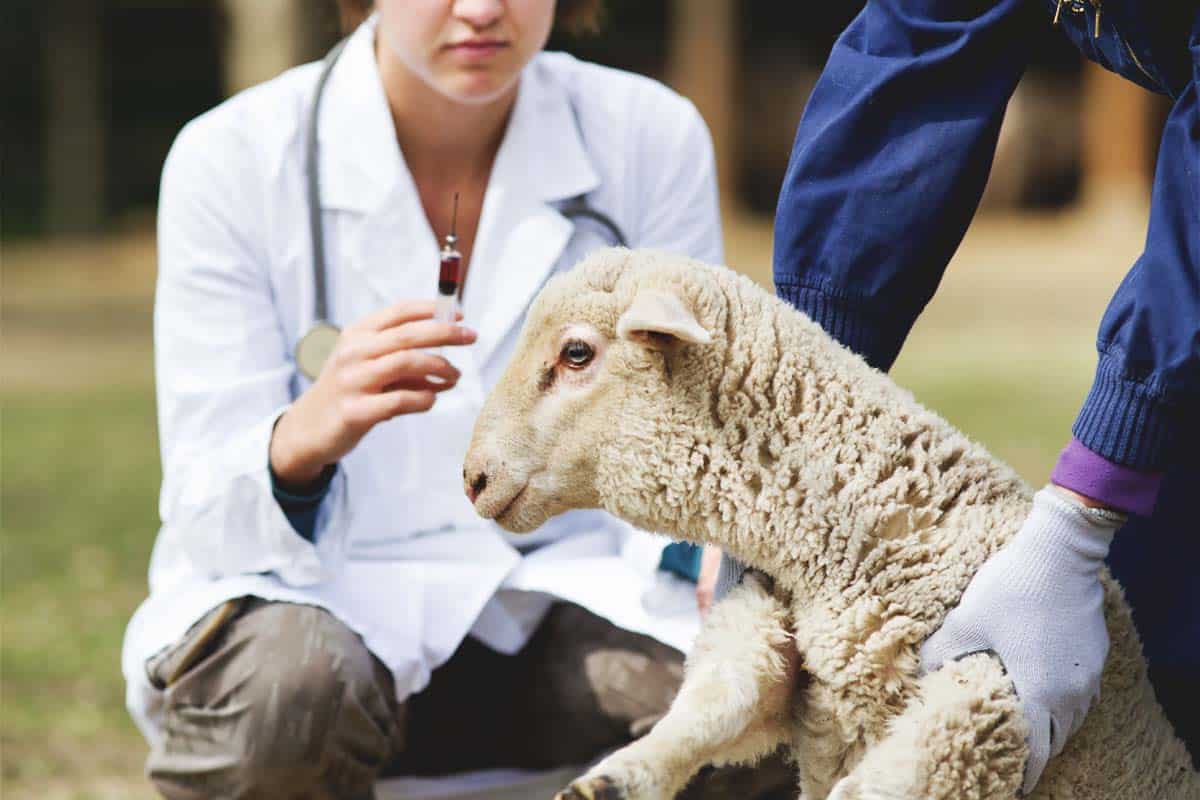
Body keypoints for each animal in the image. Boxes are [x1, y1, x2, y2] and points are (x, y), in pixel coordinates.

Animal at [462, 248, 1199, 800]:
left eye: (576, 354)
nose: (472, 478)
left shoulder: (994, 698)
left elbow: (887, 780)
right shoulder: (779, 643)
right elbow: (718, 701)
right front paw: (617, 777)